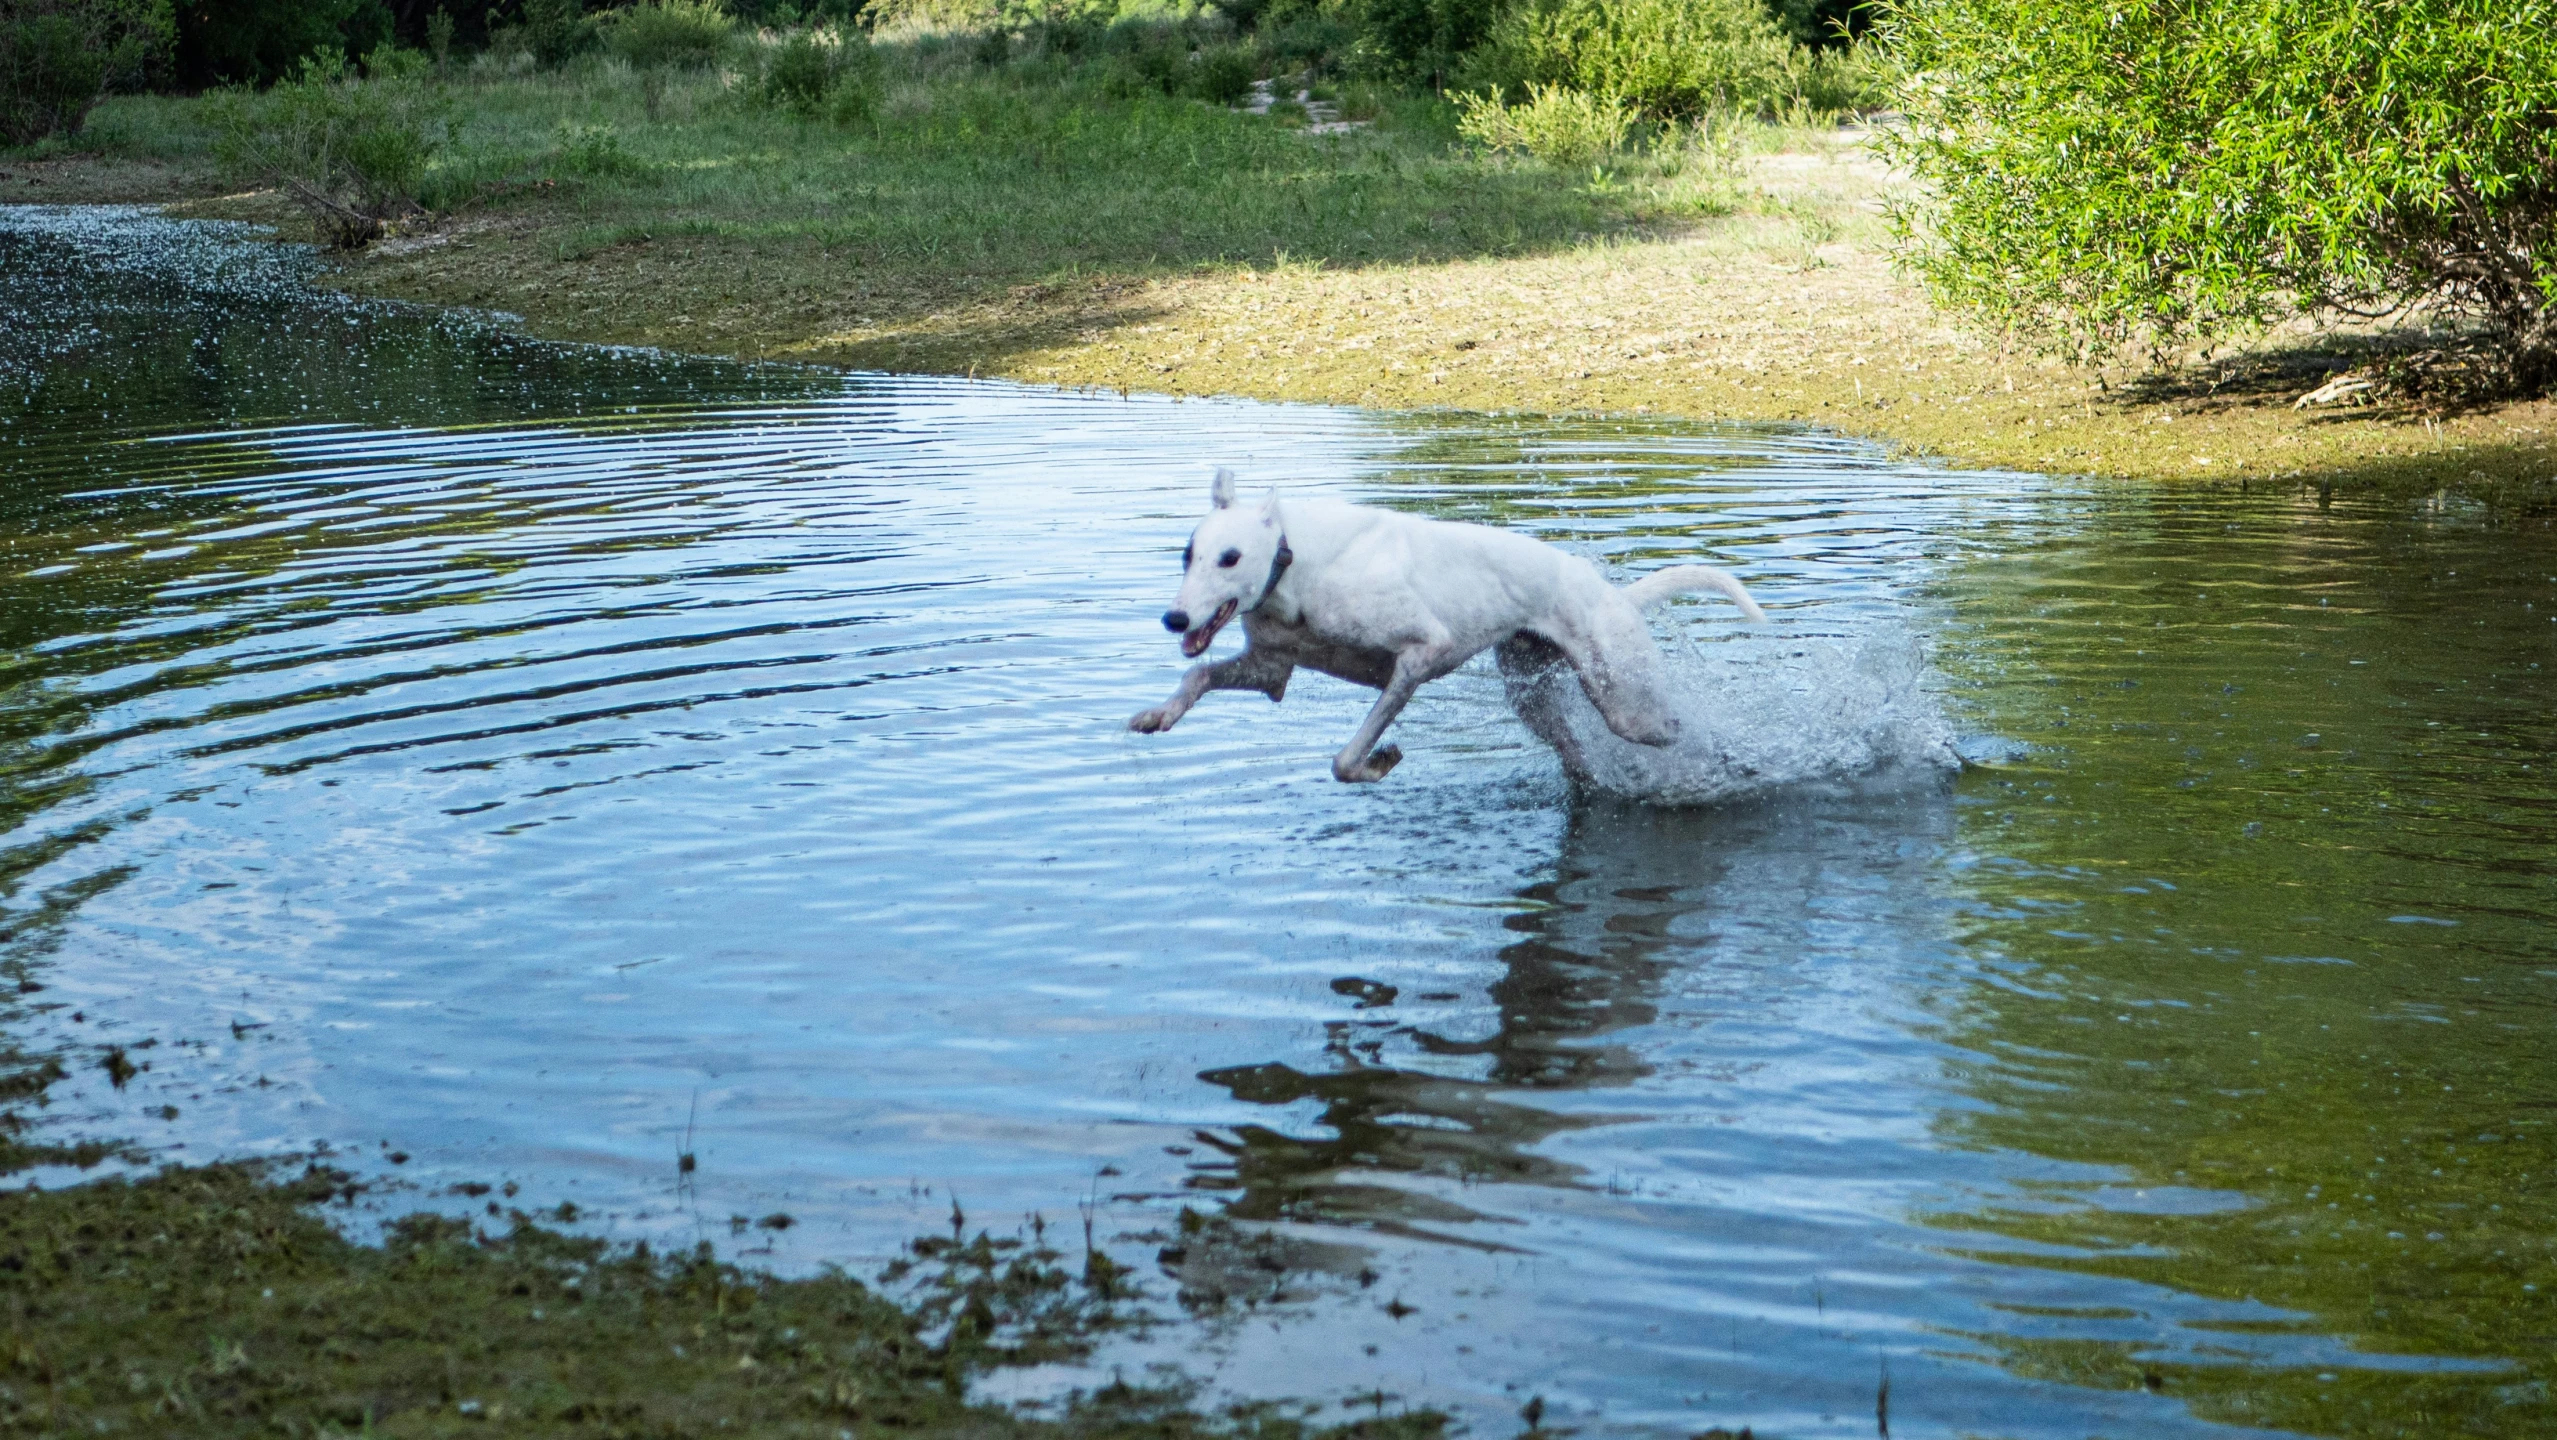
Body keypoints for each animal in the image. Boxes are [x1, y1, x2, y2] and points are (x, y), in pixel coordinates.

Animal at [1130, 470, 1769, 787]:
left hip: (1624, 699)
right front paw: (1159, 714)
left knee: (1675, 728)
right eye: (1187, 554)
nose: (1174, 618)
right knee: (1576, 756)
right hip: (1533, 697)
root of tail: (1613, 593)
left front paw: (1378, 760)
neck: (1296, 565)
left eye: (1231, 558)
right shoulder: (1270, 667)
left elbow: (1346, 758)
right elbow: (1197, 677)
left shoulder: (1421, 653)